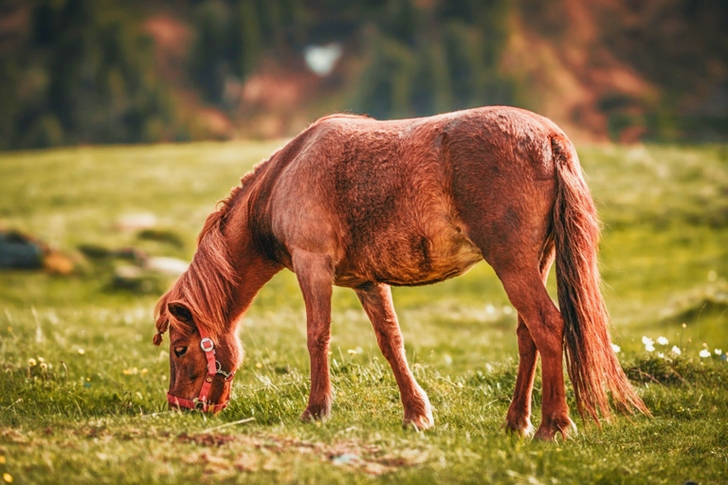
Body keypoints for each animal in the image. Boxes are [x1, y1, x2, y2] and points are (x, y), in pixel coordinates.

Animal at [152, 106, 648, 440]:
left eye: (179, 349)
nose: (181, 408)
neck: (287, 175)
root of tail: (548, 137)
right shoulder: (367, 282)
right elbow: (391, 342)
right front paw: (416, 414)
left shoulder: (313, 267)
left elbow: (317, 336)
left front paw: (316, 410)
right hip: (534, 263)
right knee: (529, 336)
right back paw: (516, 422)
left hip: (514, 265)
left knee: (548, 326)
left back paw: (554, 425)